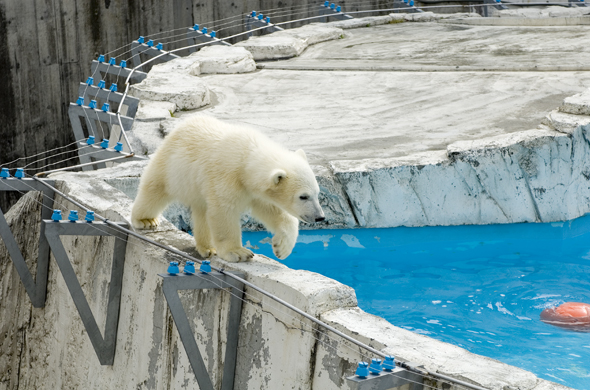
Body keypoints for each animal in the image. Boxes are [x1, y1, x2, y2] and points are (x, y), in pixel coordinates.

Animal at [132, 115, 326, 262]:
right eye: (303, 196)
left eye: (317, 193)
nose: (320, 217)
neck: (247, 157)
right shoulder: (226, 176)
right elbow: (224, 211)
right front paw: (238, 252)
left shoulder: (254, 190)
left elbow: (273, 211)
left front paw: (281, 247)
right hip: (171, 166)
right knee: (154, 189)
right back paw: (145, 220)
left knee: (202, 211)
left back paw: (208, 248)